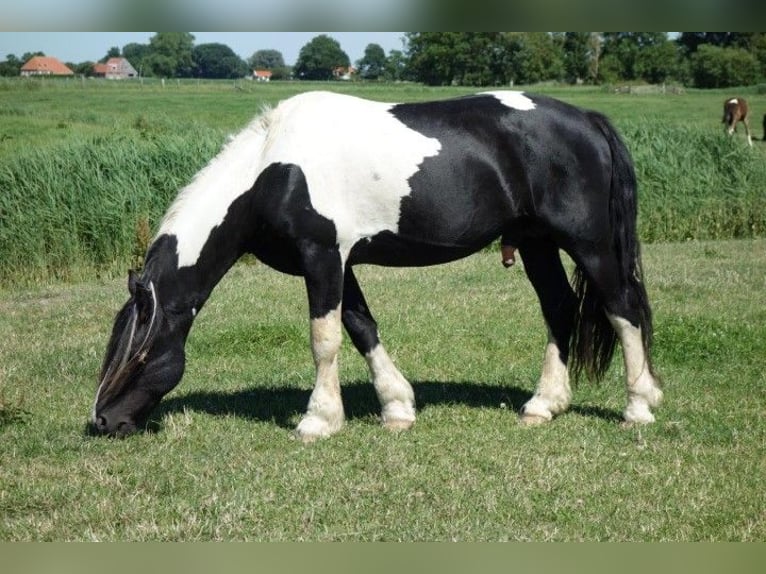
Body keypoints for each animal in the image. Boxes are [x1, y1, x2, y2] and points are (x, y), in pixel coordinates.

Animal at [91, 91, 664, 440]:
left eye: (139, 354)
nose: (101, 421)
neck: (271, 169)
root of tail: (588, 121)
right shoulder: (339, 264)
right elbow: (361, 326)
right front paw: (397, 408)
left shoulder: (322, 256)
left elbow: (324, 338)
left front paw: (319, 420)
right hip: (537, 244)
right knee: (560, 308)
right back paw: (544, 404)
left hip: (589, 245)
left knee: (623, 309)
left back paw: (638, 407)